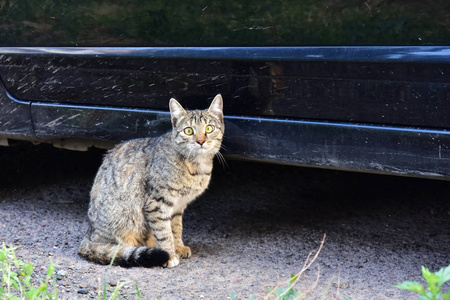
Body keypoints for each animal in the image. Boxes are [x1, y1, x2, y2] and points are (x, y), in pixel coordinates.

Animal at [79, 95, 225, 268]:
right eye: (188, 131)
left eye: (209, 128)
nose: (200, 141)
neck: (196, 165)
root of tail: (88, 235)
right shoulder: (157, 204)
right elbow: (164, 232)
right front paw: (170, 254)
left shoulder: (178, 206)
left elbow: (176, 228)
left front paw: (178, 247)